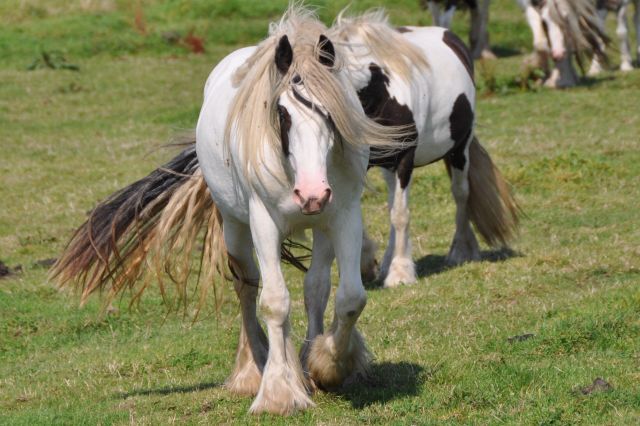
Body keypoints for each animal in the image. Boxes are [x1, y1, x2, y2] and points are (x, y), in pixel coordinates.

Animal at [52, 7, 408, 412]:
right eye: (282, 114)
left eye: (331, 114)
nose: (312, 194)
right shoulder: (264, 223)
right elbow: (274, 302)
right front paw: (279, 393)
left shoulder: (343, 217)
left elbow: (349, 297)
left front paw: (327, 366)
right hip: (236, 230)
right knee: (247, 287)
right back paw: (254, 371)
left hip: (320, 228)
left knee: (313, 288)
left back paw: (304, 366)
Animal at [330, 11, 520, 290]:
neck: (381, 93)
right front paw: (367, 266)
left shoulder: (404, 160)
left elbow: (400, 215)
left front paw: (400, 273)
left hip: (459, 150)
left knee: (461, 194)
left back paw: (461, 251)